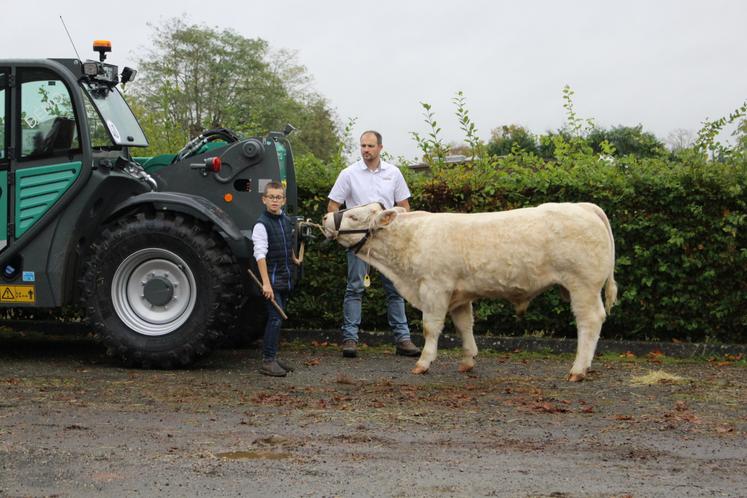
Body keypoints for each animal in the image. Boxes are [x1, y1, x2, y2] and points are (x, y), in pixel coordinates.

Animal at [322, 202, 620, 382]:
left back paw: (578, 370)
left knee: (590, 321)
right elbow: (464, 325)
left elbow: (431, 328)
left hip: (583, 285)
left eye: (353, 216)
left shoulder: (434, 288)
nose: (325, 217)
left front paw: (423, 362)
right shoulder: (458, 295)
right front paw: (468, 360)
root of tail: (584, 206)